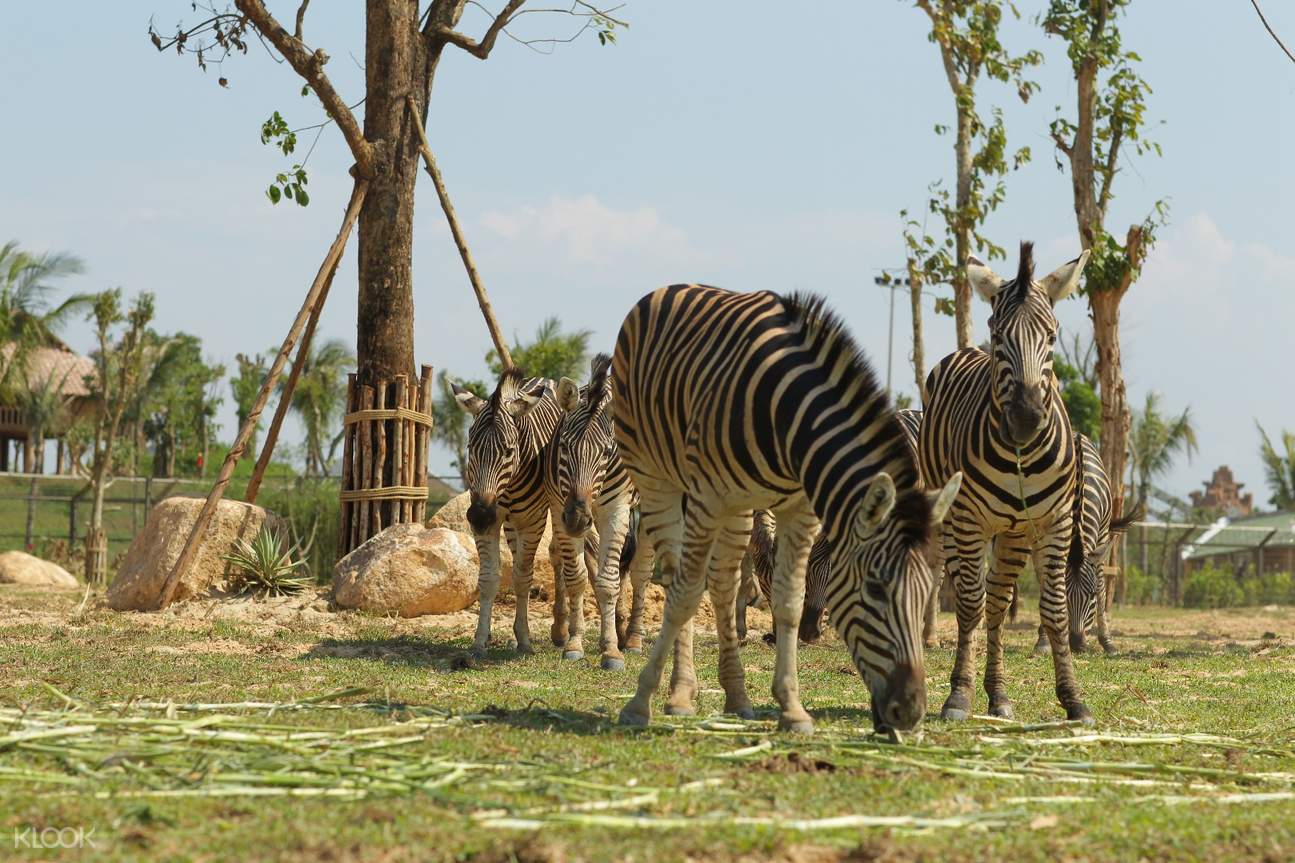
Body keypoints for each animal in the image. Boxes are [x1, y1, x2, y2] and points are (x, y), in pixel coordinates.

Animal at [450, 365, 582, 655]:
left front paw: (523, 639)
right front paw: (480, 640)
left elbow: (523, 578)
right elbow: (488, 579)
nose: (479, 516)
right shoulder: (490, 518)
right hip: (511, 525)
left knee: (556, 555)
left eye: (509, 451)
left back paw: (560, 630)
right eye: (471, 448)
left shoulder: (532, 521)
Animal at [543, 352, 657, 668]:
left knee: (641, 571)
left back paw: (633, 639)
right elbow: (578, 577)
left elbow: (607, 582)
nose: (577, 518)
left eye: (606, 452)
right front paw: (574, 643)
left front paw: (611, 650)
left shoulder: (616, 508)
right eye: (565, 447)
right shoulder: (558, 506)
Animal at [608, 285, 963, 730]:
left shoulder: (800, 509)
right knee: (678, 577)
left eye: (924, 590)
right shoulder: (708, 498)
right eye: (876, 589)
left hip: (738, 507)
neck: (790, 419)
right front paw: (639, 703)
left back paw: (733, 696)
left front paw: (792, 708)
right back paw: (681, 693)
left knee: (722, 583)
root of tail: (670, 288)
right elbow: (686, 594)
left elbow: (789, 601)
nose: (911, 710)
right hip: (658, 478)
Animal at [922, 239, 1092, 720]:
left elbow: (1053, 611)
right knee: (967, 592)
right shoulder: (969, 521)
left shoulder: (1055, 523)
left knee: (998, 599)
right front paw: (958, 696)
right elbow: (968, 605)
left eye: (1051, 336)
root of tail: (966, 348)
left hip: (1015, 533)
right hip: (952, 520)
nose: (1027, 418)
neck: (1022, 456)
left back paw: (998, 695)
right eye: (999, 336)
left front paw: (1073, 698)